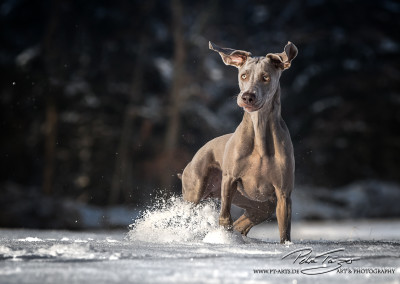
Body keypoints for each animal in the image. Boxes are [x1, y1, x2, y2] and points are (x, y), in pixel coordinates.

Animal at [180, 41, 298, 243]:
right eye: (244, 75)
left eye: (265, 77)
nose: (247, 96)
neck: (259, 133)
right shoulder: (230, 180)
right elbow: (225, 216)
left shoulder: (283, 194)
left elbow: (284, 231)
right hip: (195, 189)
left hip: (260, 205)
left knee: (245, 221)